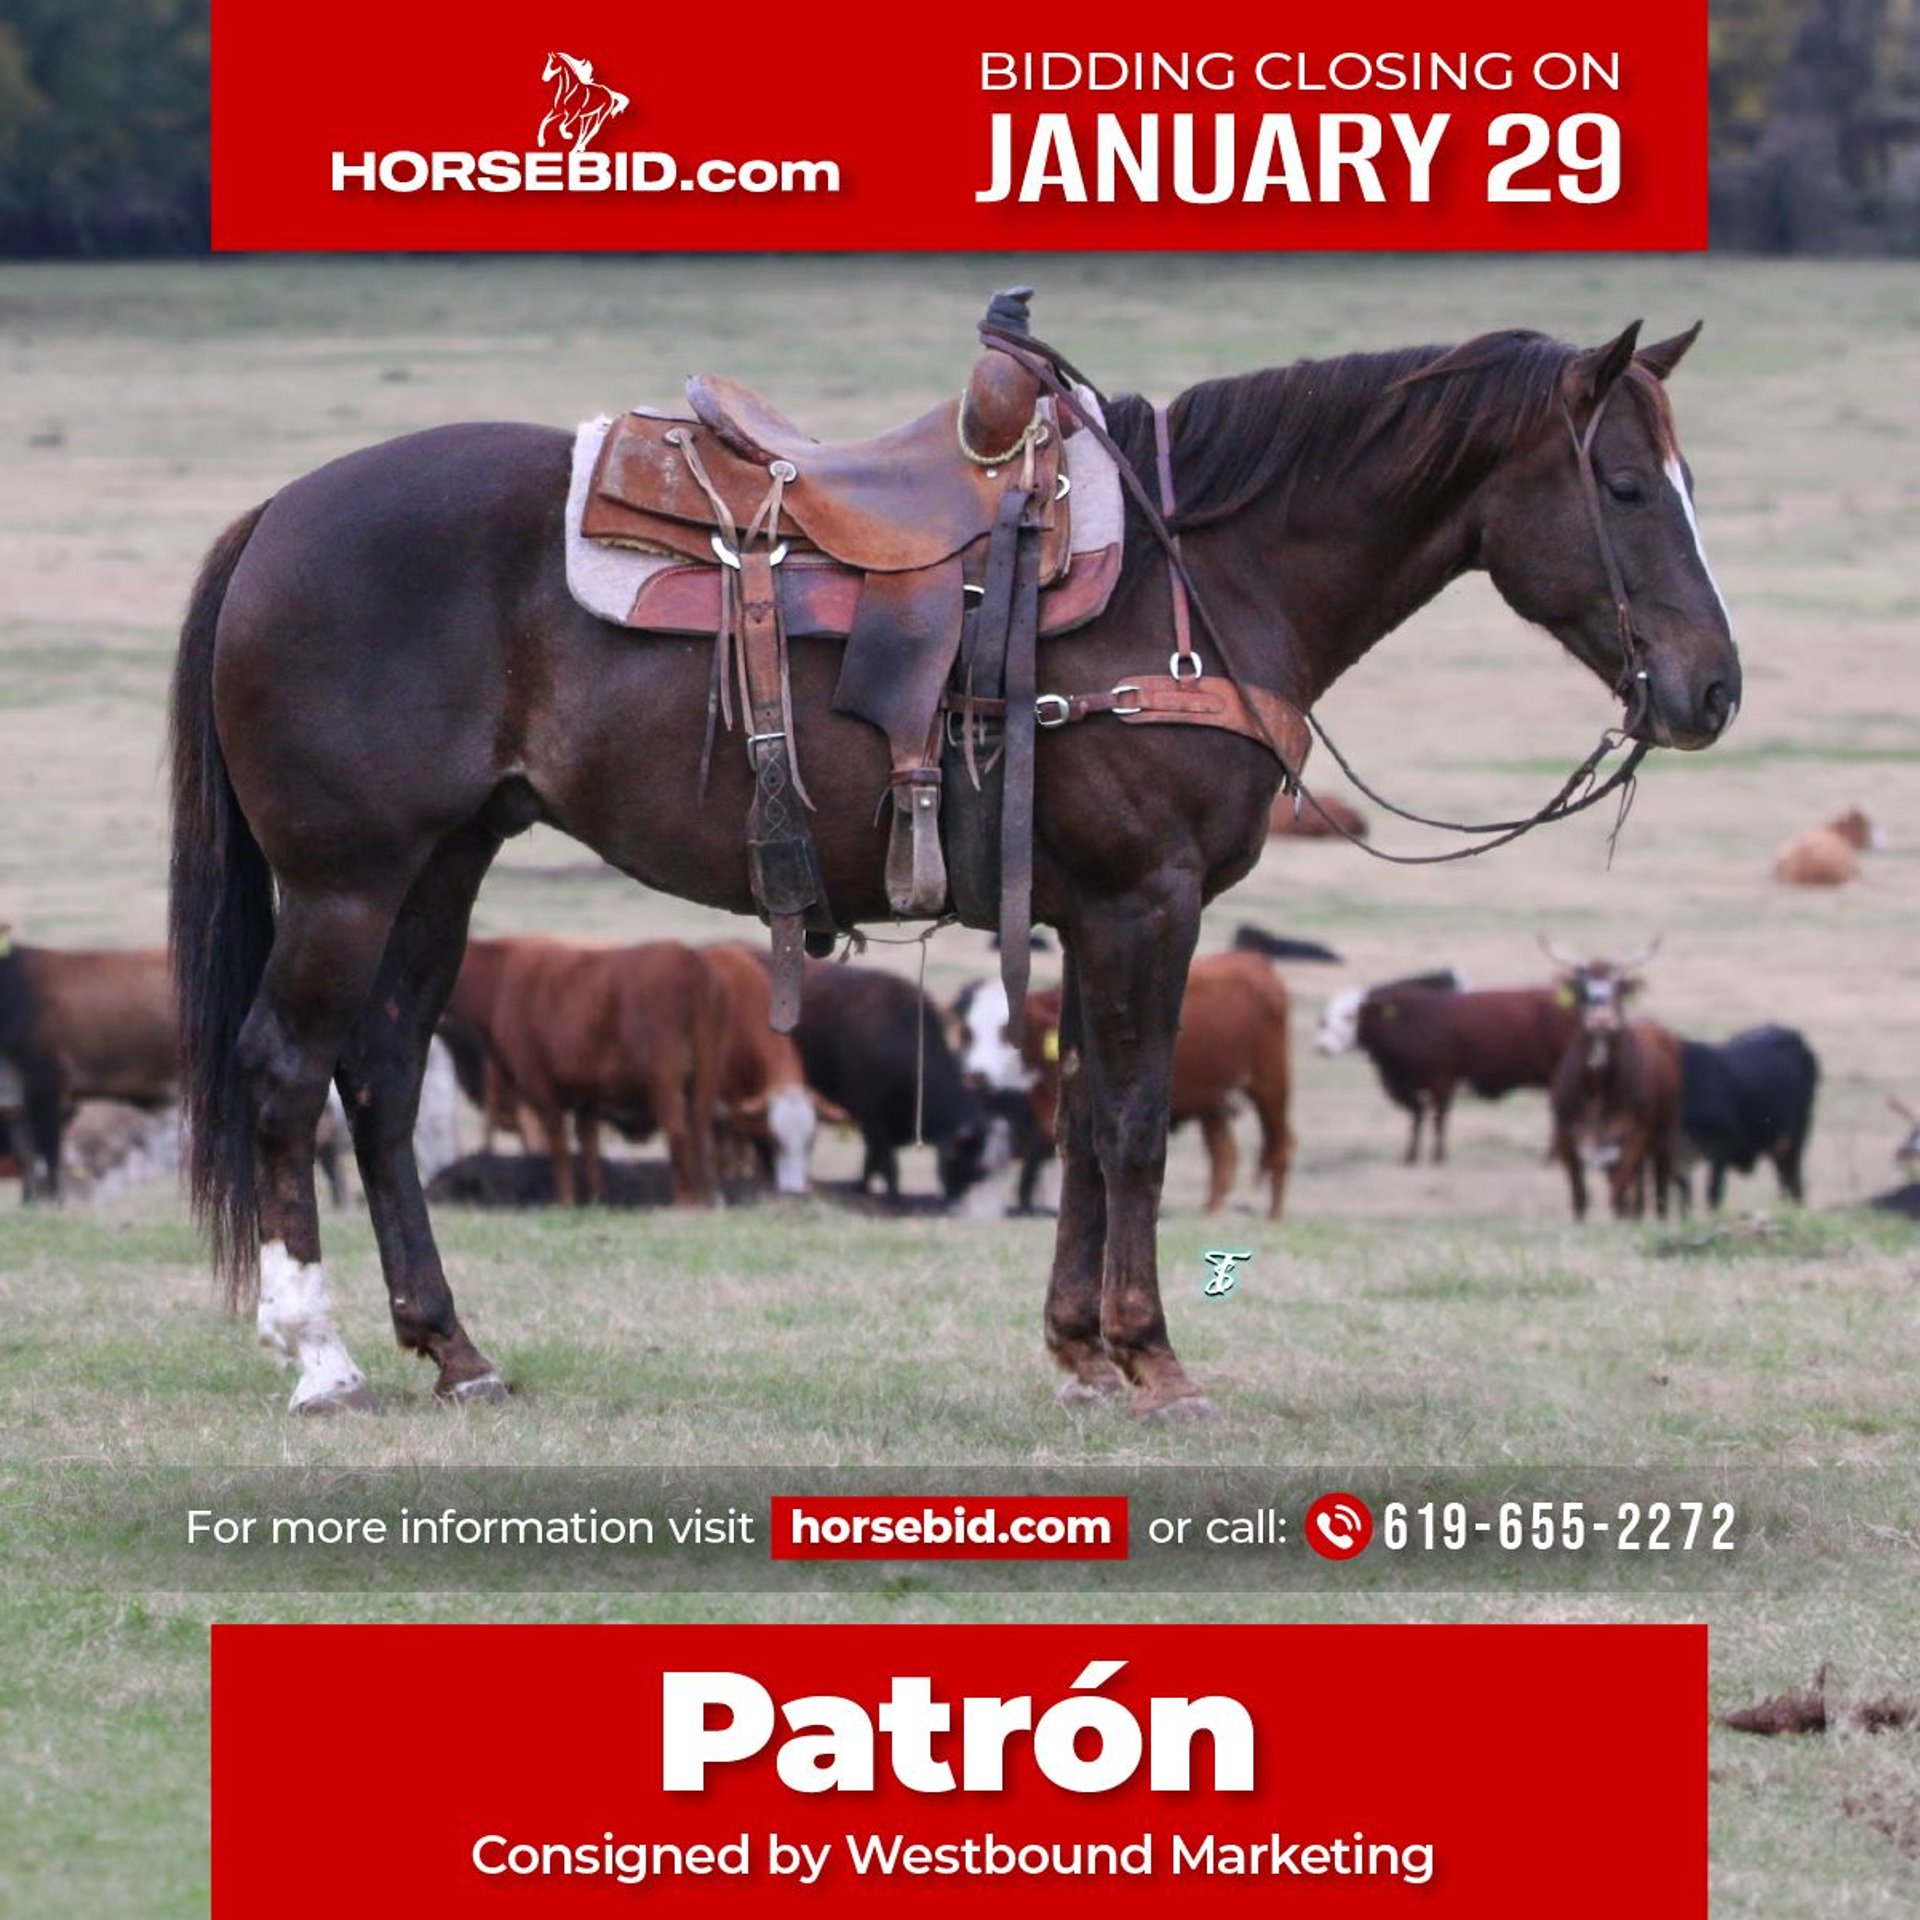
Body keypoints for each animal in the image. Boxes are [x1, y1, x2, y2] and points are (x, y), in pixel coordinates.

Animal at [169, 317, 1739, 1416]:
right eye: (1622, 485)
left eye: (1686, 479)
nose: (1712, 692)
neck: (1196, 588)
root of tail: (278, 517)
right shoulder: (1148, 903)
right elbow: (1135, 1126)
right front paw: (1155, 1360)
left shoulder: (1094, 913)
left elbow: (1085, 1116)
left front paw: (1082, 1355)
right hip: (348, 879)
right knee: (283, 1070)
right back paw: (322, 1361)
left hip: (443, 867)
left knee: (379, 1077)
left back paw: (456, 1351)